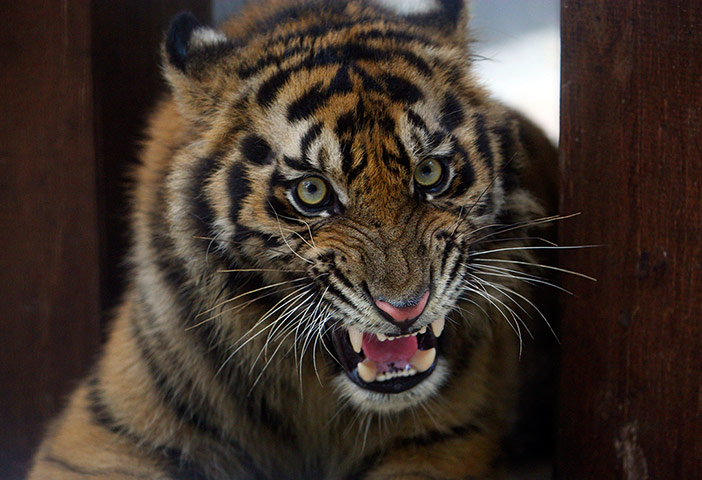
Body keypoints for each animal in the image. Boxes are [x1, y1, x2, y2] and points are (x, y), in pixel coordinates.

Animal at [29, 0, 558, 478]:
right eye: (312, 191)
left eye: (429, 172)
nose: (406, 308)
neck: (313, 403)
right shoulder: (106, 438)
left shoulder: (440, 441)